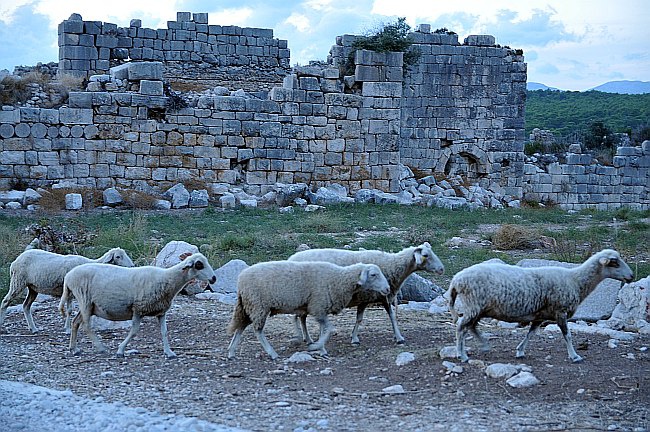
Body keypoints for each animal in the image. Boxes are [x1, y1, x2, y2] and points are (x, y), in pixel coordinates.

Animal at [0, 246, 134, 334]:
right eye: (118, 256)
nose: (132, 266)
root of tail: (16, 260)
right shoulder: (71, 291)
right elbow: (69, 310)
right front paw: (68, 329)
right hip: (18, 281)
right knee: (6, 301)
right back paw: (2, 325)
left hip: (32, 287)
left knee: (26, 306)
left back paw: (33, 328)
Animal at [59, 253, 215, 358]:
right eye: (199, 264)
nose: (213, 278)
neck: (167, 280)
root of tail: (68, 276)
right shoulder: (138, 309)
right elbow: (134, 331)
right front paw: (121, 350)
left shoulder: (161, 312)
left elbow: (164, 332)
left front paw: (169, 352)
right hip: (84, 299)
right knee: (86, 325)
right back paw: (100, 347)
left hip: (89, 304)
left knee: (75, 322)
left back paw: (74, 348)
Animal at [225, 262, 388, 360]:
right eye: (373, 274)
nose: (387, 289)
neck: (340, 279)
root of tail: (240, 279)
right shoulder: (318, 307)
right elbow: (329, 329)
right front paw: (316, 346)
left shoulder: (321, 309)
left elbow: (323, 329)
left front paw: (321, 350)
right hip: (258, 305)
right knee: (257, 331)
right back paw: (272, 353)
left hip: (248, 306)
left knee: (240, 327)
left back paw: (231, 352)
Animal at [288, 241, 442, 346]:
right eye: (426, 255)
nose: (442, 269)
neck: (392, 266)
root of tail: (291, 258)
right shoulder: (368, 297)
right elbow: (362, 319)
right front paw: (355, 338)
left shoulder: (382, 296)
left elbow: (390, 317)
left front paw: (398, 337)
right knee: (301, 317)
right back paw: (307, 338)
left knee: (301, 318)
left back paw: (307, 338)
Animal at [446, 248, 632, 362]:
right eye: (614, 262)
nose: (631, 276)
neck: (575, 281)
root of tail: (456, 280)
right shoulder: (560, 311)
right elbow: (567, 335)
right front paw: (574, 356)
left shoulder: (540, 316)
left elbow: (531, 333)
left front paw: (520, 351)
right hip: (474, 306)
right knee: (461, 328)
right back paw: (461, 355)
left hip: (480, 308)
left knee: (471, 327)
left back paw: (484, 345)